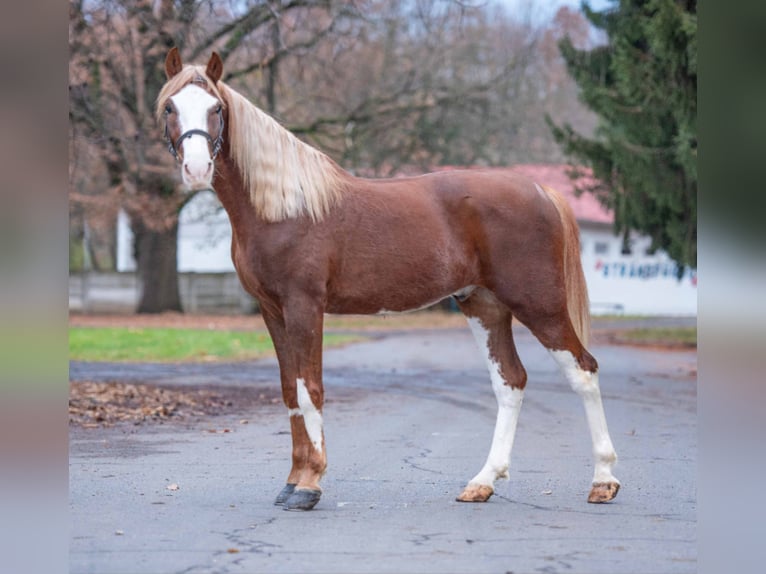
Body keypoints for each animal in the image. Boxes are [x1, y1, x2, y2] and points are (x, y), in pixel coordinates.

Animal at [157, 48, 620, 511]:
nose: (196, 168)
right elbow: (290, 392)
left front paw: (309, 486)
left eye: (216, 108)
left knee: (584, 371)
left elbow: (310, 390)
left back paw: (603, 480)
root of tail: (541, 190)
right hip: (484, 306)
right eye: (169, 108)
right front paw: (291, 482)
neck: (285, 206)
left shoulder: (304, 306)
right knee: (510, 381)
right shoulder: (272, 310)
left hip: (539, 304)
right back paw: (482, 482)